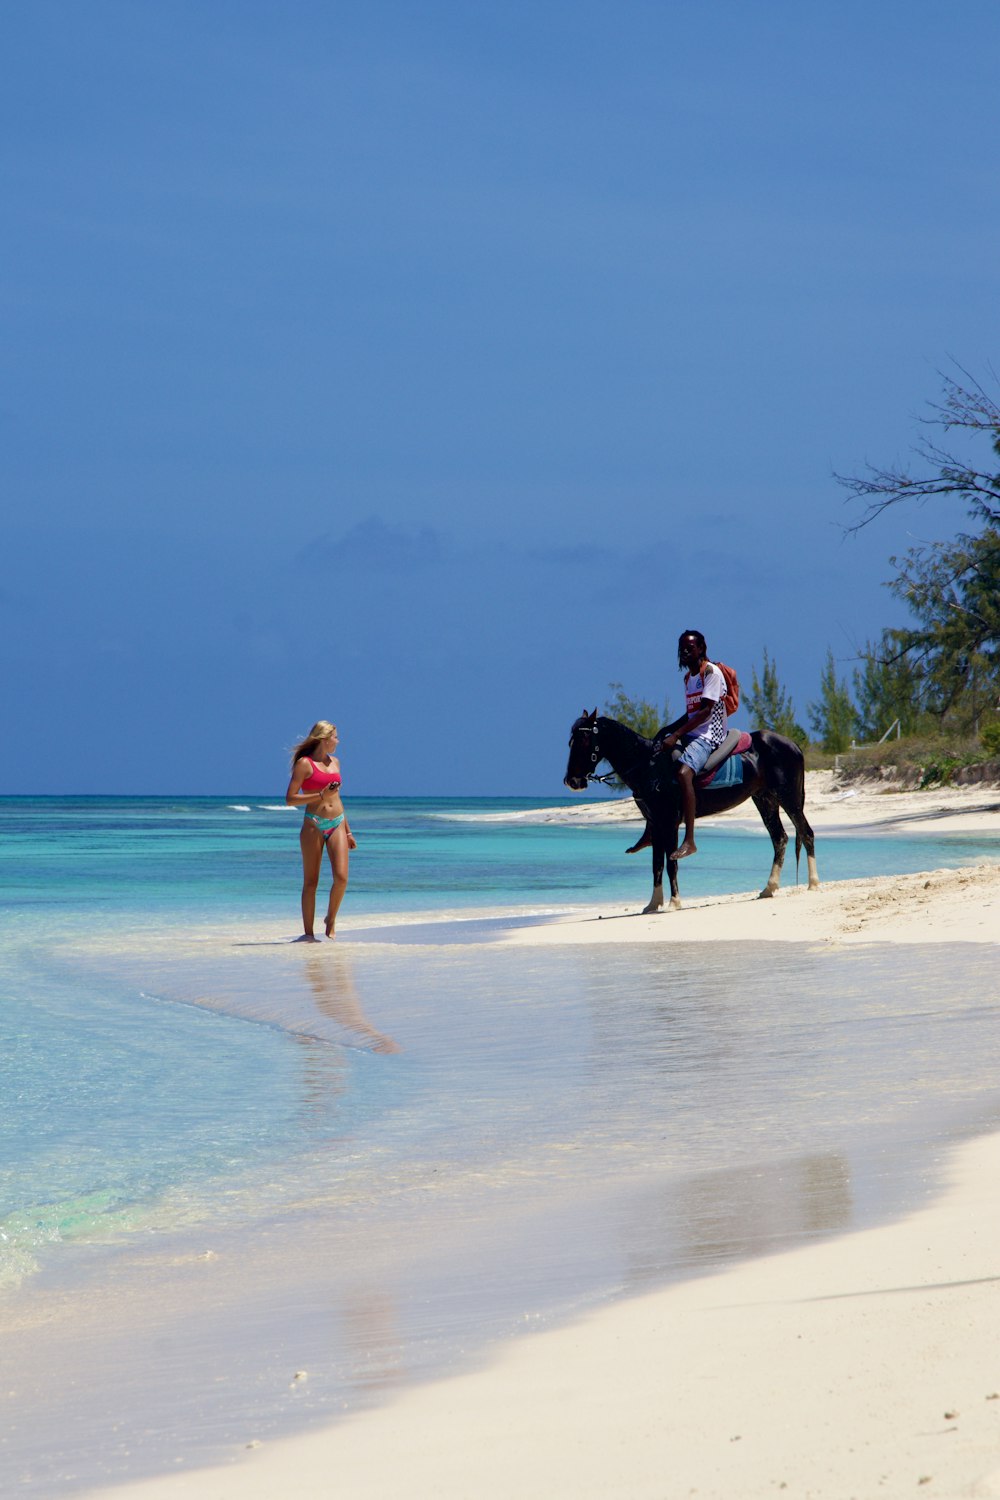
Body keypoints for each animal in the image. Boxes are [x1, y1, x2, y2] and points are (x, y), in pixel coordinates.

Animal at [566, 714, 815, 912]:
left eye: (584, 740)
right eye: (571, 741)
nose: (572, 782)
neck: (650, 766)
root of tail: (792, 744)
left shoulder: (669, 823)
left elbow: (671, 863)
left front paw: (674, 902)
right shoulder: (657, 824)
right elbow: (656, 865)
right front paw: (653, 904)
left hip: (789, 798)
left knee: (806, 833)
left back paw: (813, 883)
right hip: (765, 799)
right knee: (779, 838)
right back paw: (769, 888)